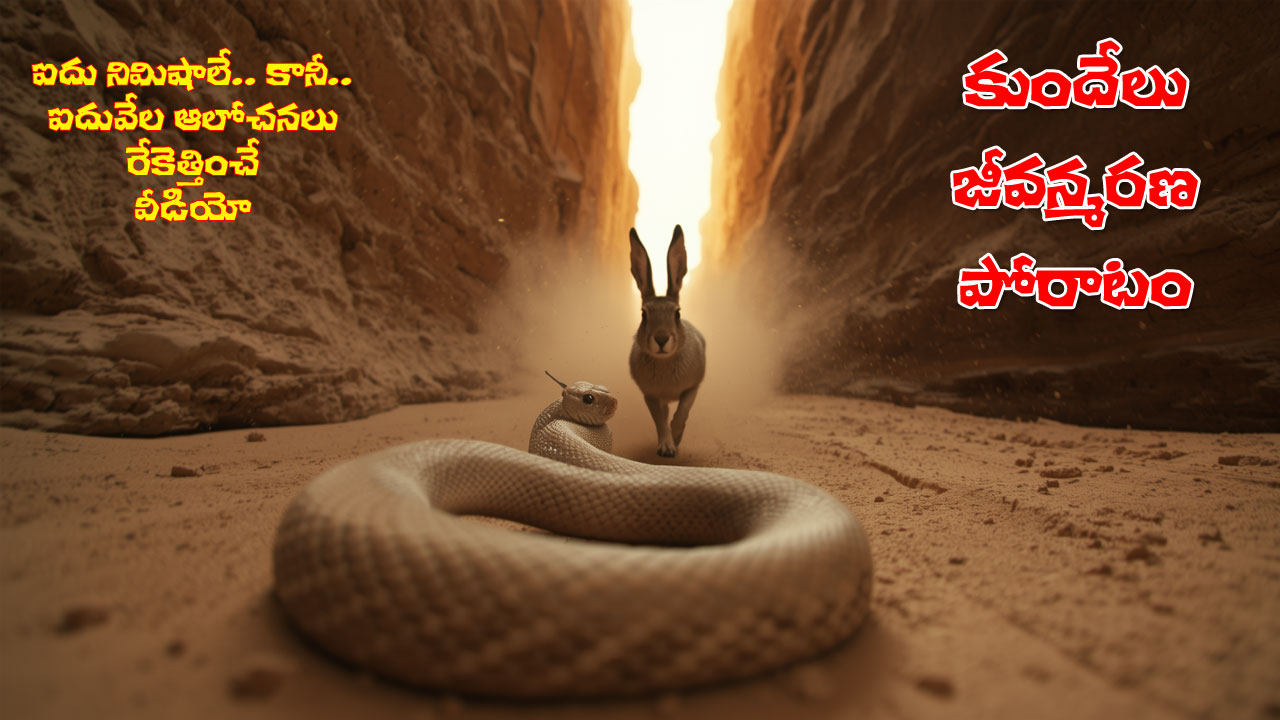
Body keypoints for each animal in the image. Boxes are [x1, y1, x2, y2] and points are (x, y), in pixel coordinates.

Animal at [628, 225, 706, 457]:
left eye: (677, 313)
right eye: (644, 314)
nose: (661, 339)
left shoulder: (692, 388)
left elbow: (682, 413)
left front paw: (677, 438)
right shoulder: (651, 395)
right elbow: (660, 422)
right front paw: (666, 447)